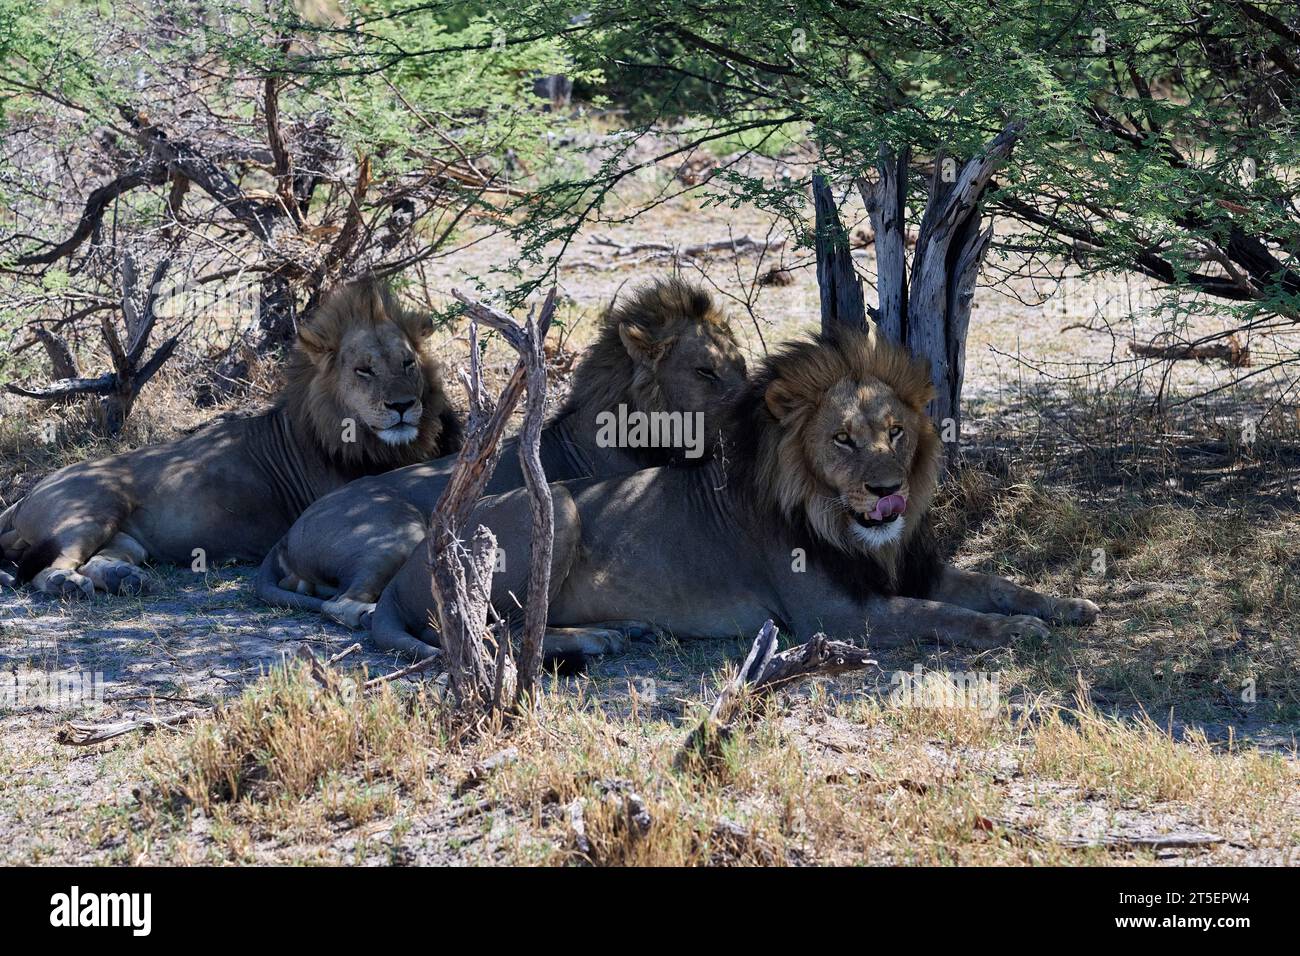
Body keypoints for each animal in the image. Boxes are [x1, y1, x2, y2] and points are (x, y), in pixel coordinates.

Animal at [0, 280, 463, 598]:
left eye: (407, 363)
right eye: (364, 370)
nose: (402, 405)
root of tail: (24, 496)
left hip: (127, 540)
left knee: (101, 561)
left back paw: (125, 578)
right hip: (91, 512)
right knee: (46, 571)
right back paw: (70, 585)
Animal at [255, 277, 748, 628]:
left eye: (740, 365)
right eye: (705, 371)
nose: (747, 405)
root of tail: (288, 533)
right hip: (396, 532)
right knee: (343, 604)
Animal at [369, 326, 1099, 660]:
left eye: (895, 432)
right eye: (842, 439)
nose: (887, 489)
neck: (843, 524)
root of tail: (400, 575)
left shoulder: (909, 568)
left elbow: (993, 583)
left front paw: (1068, 604)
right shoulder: (837, 615)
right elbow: (943, 615)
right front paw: (1019, 631)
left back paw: (620, 629)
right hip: (566, 507)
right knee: (483, 629)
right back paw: (596, 641)